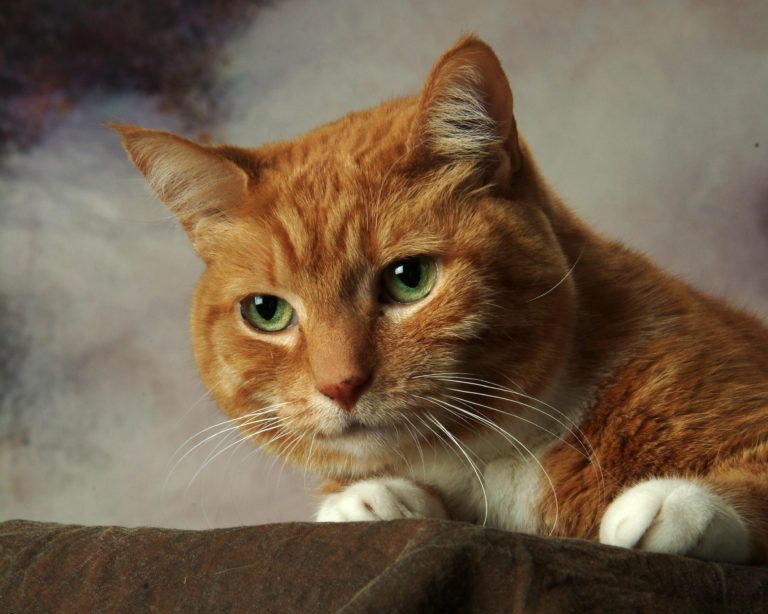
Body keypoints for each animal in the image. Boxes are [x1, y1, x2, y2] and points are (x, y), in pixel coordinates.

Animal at [114, 32, 768, 564]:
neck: (495, 458)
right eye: (267, 312)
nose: (339, 385)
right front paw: (366, 501)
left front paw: (675, 504)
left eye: (409, 278)